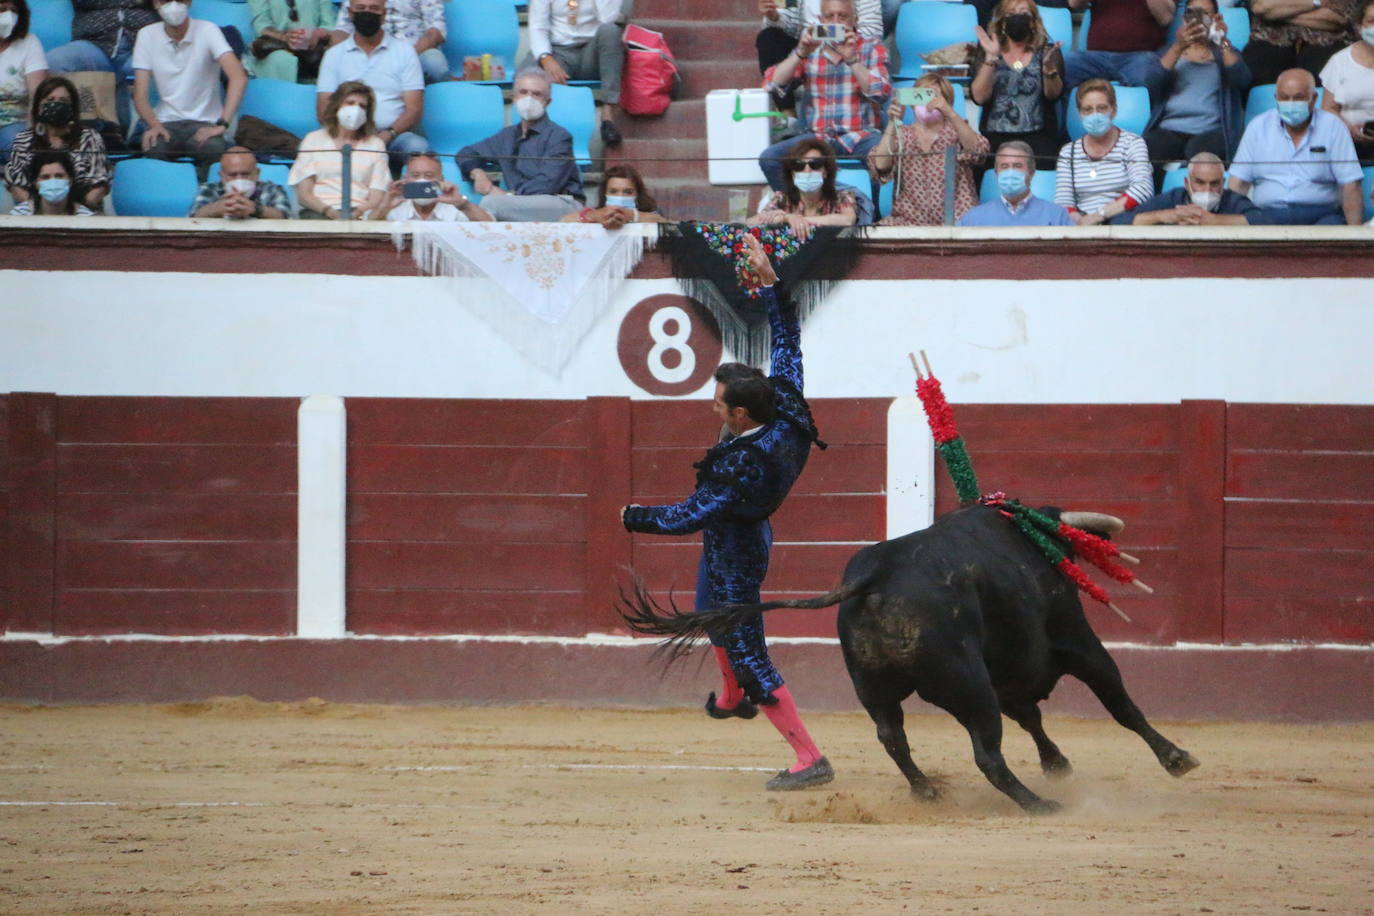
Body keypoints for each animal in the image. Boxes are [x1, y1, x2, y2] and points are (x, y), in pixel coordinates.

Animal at [618, 505, 1198, 813]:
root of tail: (873, 574)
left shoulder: (1010, 673)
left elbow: (1032, 717)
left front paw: (1057, 763)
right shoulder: (1074, 641)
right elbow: (1121, 704)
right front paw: (1175, 758)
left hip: (875, 687)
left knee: (892, 736)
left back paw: (927, 790)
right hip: (969, 684)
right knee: (987, 753)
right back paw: (1037, 804)